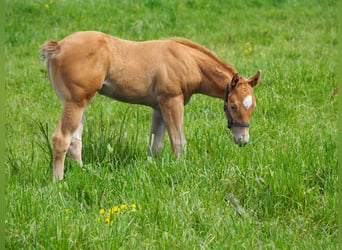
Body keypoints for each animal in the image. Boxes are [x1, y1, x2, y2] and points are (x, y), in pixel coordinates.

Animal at [40, 30, 260, 182]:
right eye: (233, 106)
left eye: (253, 107)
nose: (243, 140)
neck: (188, 60)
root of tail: (59, 46)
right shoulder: (172, 101)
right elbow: (178, 142)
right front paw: (181, 169)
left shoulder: (158, 107)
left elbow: (155, 145)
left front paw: (152, 169)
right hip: (75, 102)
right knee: (61, 138)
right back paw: (58, 182)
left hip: (79, 103)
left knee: (75, 141)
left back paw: (82, 173)